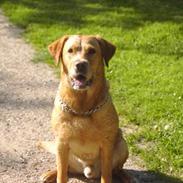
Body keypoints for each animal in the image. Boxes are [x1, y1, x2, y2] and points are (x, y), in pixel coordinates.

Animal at [38, 35, 130, 183]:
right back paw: (50, 173)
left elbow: (107, 175)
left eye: (92, 51)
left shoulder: (107, 145)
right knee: (65, 168)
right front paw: (56, 174)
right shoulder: (62, 143)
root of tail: (87, 170)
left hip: (122, 144)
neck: (82, 107)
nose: (80, 64)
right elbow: (62, 174)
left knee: (117, 168)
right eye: (70, 50)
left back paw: (125, 176)